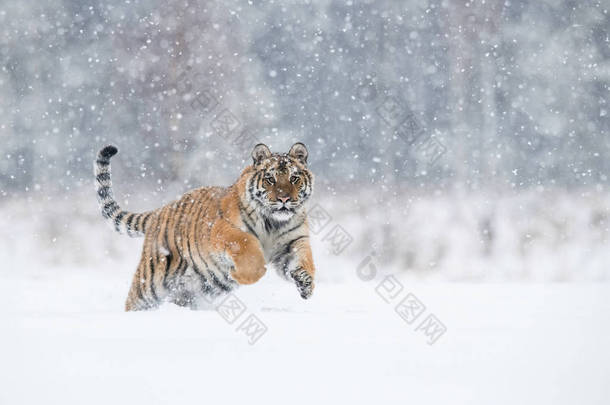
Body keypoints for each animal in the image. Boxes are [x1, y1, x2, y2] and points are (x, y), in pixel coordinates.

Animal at [94, 142, 318, 310]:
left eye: (294, 178)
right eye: (270, 179)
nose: (284, 199)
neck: (274, 223)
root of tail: (161, 210)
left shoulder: (293, 242)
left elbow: (305, 260)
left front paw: (306, 284)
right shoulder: (223, 230)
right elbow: (249, 248)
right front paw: (238, 275)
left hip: (187, 290)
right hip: (151, 281)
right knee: (134, 300)